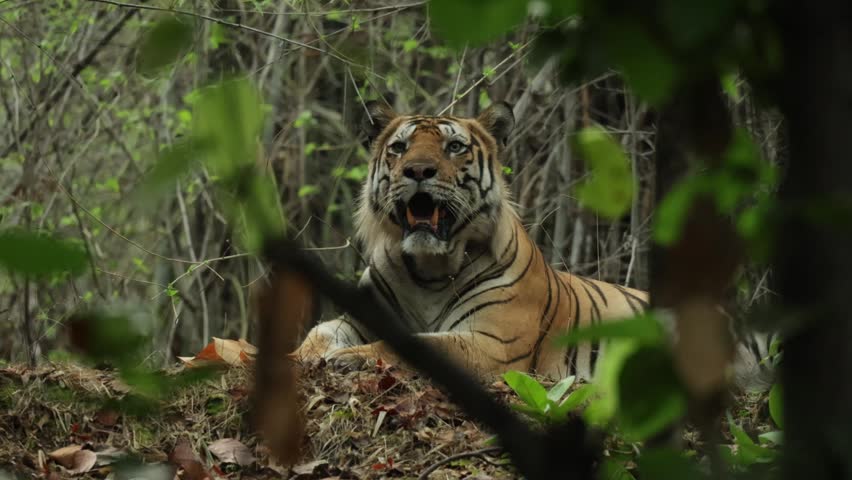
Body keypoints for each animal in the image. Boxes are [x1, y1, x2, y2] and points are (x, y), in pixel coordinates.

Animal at [292, 100, 776, 388]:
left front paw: (348, 360)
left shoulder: (492, 341)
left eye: (454, 147)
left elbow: (418, 344)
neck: (429, 271)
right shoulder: (362, 316)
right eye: (399, 147)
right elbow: (318, 333)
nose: (418, 171)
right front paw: (301, 357)